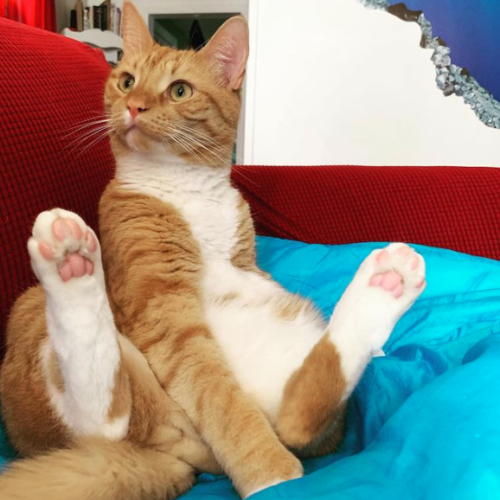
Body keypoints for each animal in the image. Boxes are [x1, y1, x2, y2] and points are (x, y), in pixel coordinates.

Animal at [0, 1, 426, 498]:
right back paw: (69, 260)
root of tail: (189, 464)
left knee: (301, 416)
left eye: (179, 90)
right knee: (106, 417)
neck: (185, 185)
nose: (134, 105)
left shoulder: (242, 262)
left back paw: (385, 287)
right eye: (127, 81)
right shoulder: (163, 310)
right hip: (37, 313)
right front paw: (270, 475)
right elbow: (222, 401)